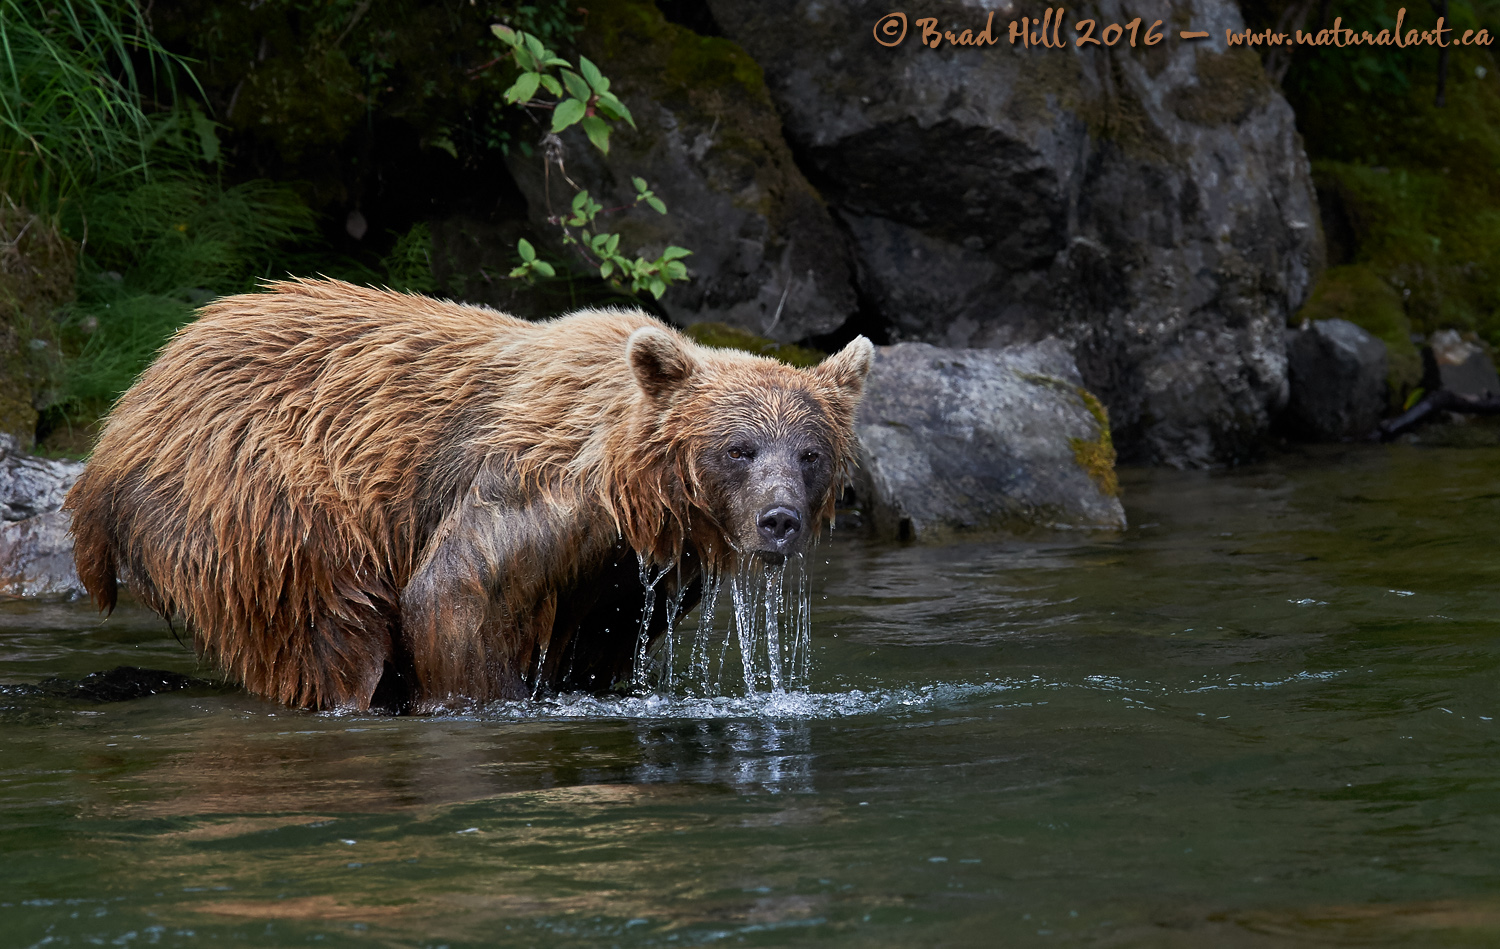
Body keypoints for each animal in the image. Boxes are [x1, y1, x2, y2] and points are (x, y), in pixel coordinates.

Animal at [64, 277, 876, 707]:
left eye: (809, 452)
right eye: (739, 448)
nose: (778, 519)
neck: (630, 491)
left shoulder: (628, 572)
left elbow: (598, 641)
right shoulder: (532, 488)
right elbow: (451, 599)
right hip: (260, 499)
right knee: (331, 622)